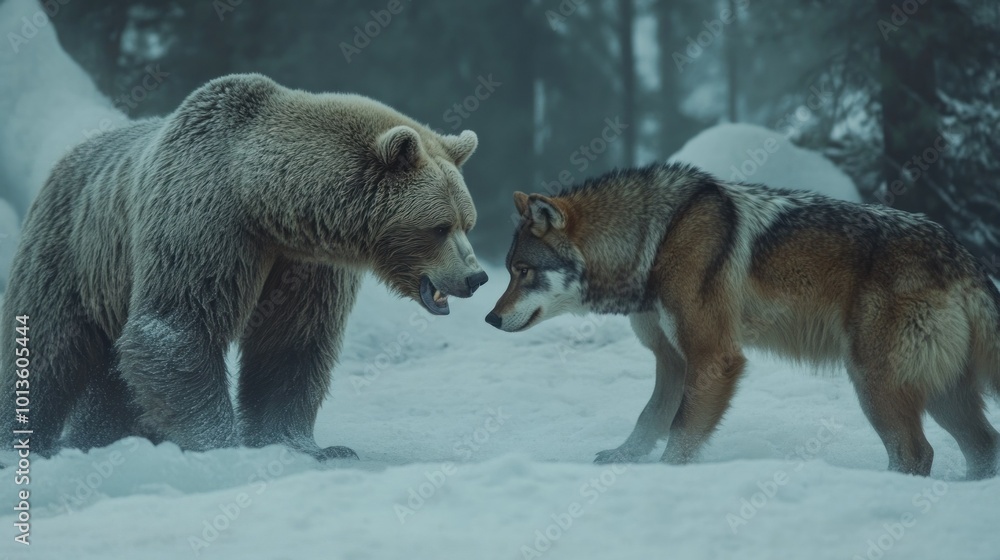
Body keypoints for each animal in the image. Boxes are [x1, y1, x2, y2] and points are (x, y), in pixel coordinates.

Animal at [0, 74, 490, 460]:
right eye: (440, 226)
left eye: (468, 222)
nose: (476, 277)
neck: (262, 202)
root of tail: (70, 154)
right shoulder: (205, 223)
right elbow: (178, 327)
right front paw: (220, 440)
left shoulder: (306, 265)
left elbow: (290, 344)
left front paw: (307, 445)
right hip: (71, 252)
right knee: (47, 349)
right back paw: (25, 439)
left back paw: (100, 438)